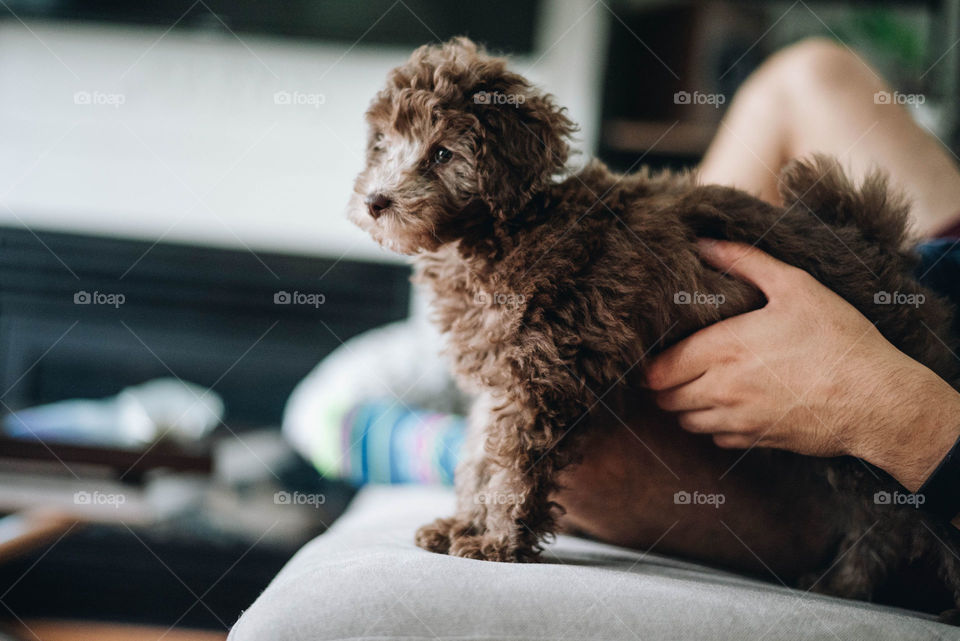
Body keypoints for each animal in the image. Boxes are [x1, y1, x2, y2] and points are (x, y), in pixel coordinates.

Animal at [348, 36, 960, 616]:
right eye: (382, 145)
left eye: (442, 153)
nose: (376, 201)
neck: (510, 225)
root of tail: (881, 252)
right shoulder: (504, 379)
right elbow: (479, 458)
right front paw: (463, 526)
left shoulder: (542, 378)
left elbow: (514, 467)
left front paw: (497, 543)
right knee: (880, 520)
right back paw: (844, 585)